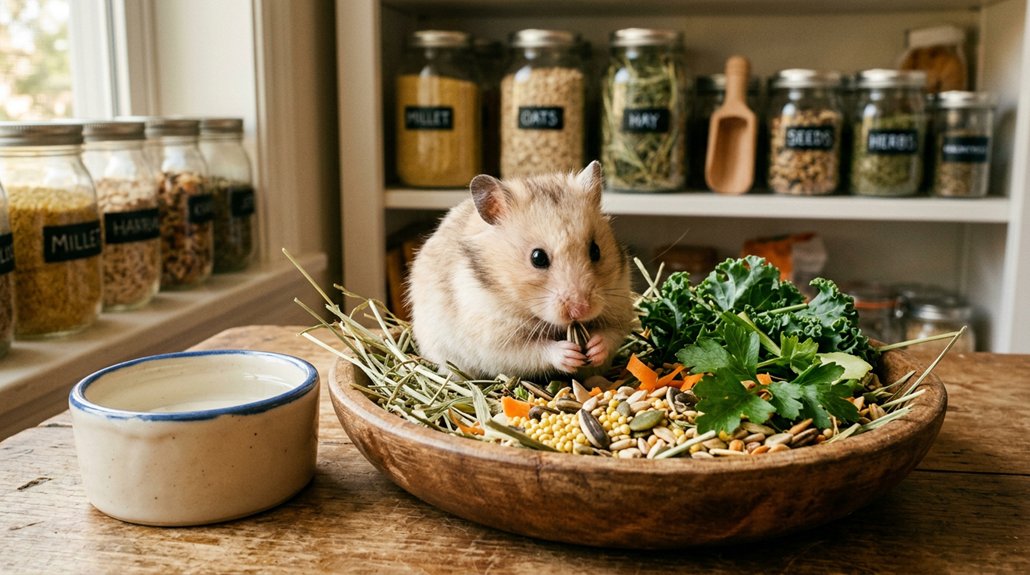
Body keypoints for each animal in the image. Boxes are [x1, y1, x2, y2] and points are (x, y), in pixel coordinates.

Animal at [408, 161, 636, 380]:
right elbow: (534, 350)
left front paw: (595, 347)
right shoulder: (496, 339)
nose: (581, 310)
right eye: (538, 258)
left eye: (595, 251)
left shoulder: (619, 308)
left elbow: (610, 335)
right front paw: (568, 353)